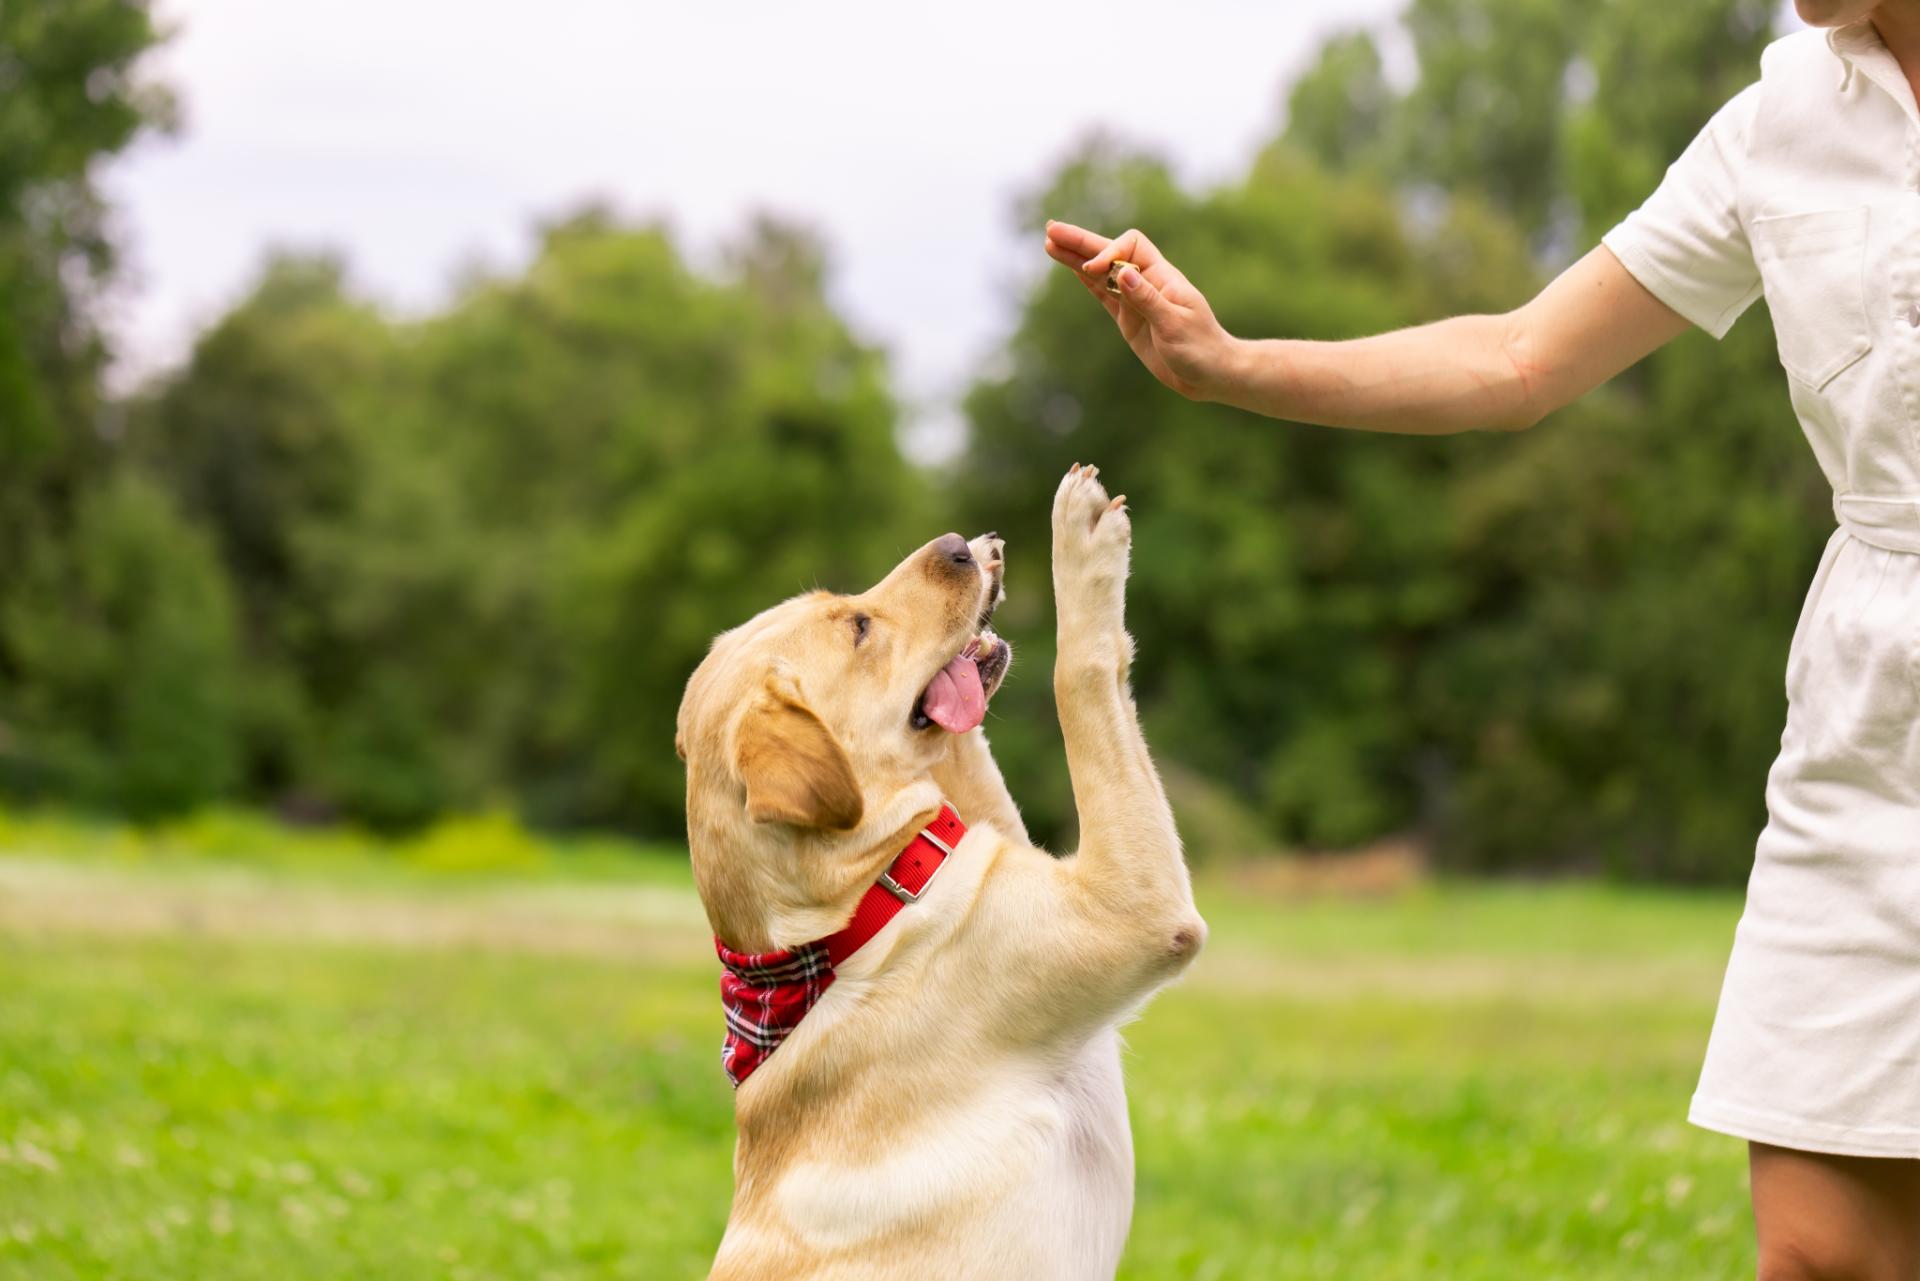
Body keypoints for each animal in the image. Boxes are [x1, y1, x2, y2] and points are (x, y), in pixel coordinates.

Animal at [679, 466, 1198, 1275]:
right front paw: (1081, 544)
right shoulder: (1130, 908)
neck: (863, 908)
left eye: (849, 604)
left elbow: (970, 753)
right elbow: (1079, 673)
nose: (957, 543)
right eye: (859, 627)